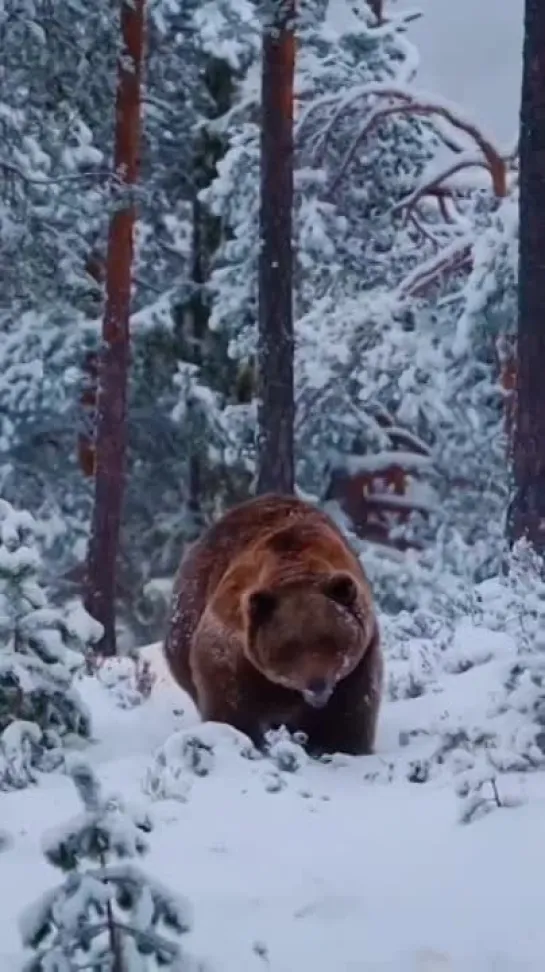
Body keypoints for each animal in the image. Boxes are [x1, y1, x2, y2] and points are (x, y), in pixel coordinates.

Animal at [164, 494, 380, 752]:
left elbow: (349, 714)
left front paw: (339, 746)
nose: (317, 684)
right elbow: (229, 700)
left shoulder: (359, 662)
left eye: (330, 638)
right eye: (291, 645)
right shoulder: (235, 647)